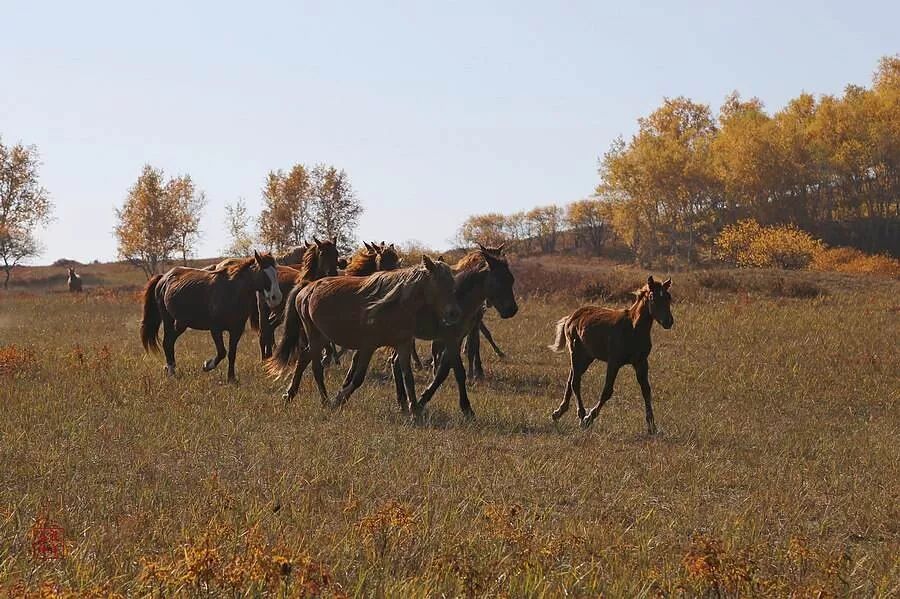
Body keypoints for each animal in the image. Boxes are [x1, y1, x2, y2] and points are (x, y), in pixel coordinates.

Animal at [141, 251, 282, 382]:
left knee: (170, 341)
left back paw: (171, 369)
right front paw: (207, 365)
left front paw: (231, 378)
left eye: (276, 273)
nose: (276, 297)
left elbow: (232, 353)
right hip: (168, 320)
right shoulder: (215, 329)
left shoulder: (237, 330)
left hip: (181, 324)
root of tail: (163, 278)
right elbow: (222, 352)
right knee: (167, 342)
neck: (231, 292)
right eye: (264, 273)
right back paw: (171, 372)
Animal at [267, 255, 461, 412]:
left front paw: (414, 409)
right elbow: (358, 378)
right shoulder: (368, 346)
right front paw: (339, 399)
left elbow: (408, 377)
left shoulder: (403, 344)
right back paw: (322, 400)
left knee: (306, 360)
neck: (394, 305)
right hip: (315, 336)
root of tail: (306, 289)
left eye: (452, 284)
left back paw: (295, 395)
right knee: (311, 365)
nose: (454, 313)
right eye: (440, 283)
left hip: (321, 338)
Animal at [394, 245, 518, 418]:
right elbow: (459, 372)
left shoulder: (456, 339)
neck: (460, 299)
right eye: (499, 280)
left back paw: (403, 403)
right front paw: (467, 408)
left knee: (395, 362)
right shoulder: (450, 340)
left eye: (511, 279)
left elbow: (443, 371)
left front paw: (422, 400)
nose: (512, 310)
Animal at [548, 276, 673, 434]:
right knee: (575, 381)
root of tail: (571, 316)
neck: (633, 329)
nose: (668, 321)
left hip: (587, 357)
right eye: (652, 297)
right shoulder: (614, 362)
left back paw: (558, 413)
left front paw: (652, 426)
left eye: (668, 297)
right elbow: (607, 390)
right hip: (576, 352)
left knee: (571, 379)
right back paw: (581, 415)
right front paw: (589, 418)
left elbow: (646, 390)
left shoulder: (641, 362)